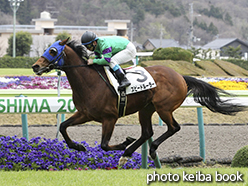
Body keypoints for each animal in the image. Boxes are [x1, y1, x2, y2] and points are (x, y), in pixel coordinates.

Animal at [31, 38, 244, 166]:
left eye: (52, 50)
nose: (35, 66)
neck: (90, 82)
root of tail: (181, 77)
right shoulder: (85, 113)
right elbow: (63, 127)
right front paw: (78, 147)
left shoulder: (110, 118)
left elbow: (105, 145)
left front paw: (124, 142)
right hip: (146, 109)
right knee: (147, 132)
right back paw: (128, 153)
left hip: (164, 108)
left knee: (173, 128)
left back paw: (147, 148)